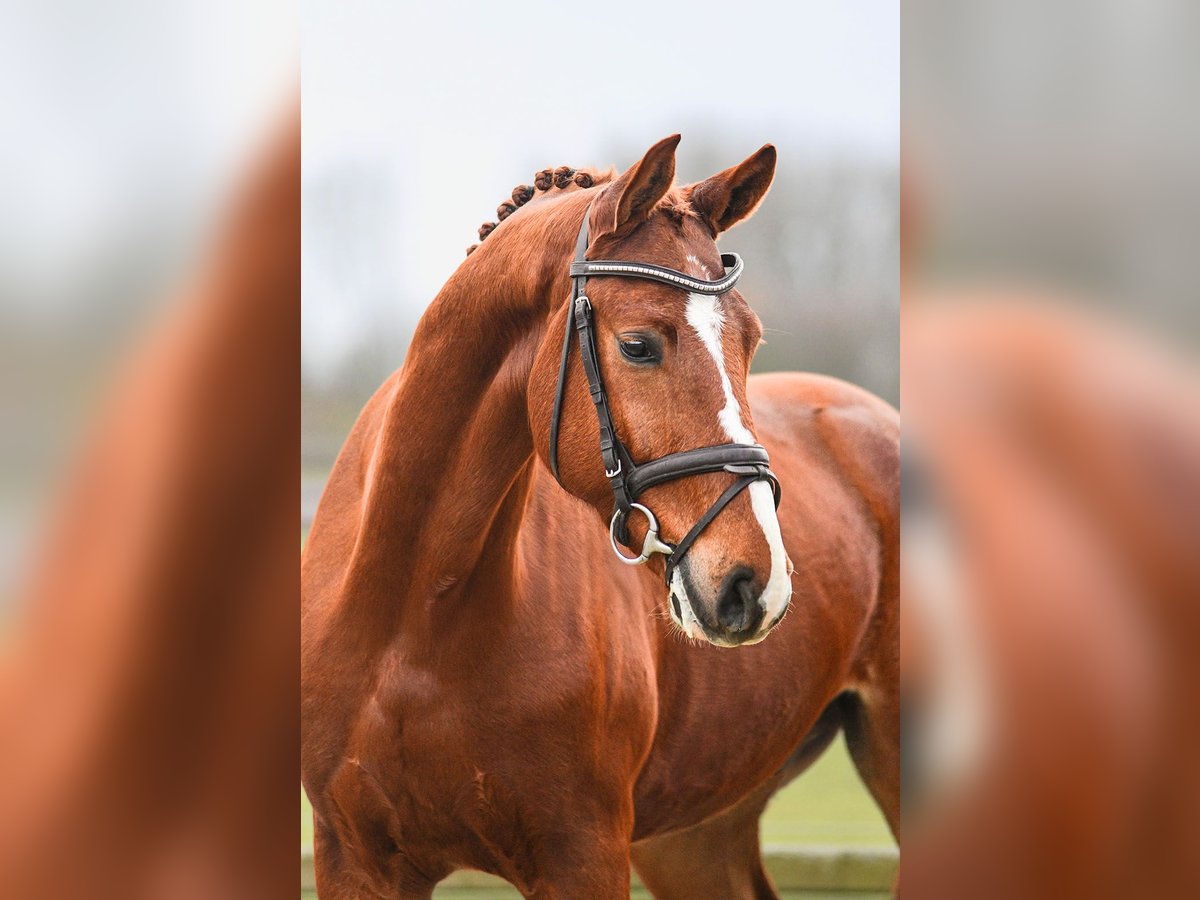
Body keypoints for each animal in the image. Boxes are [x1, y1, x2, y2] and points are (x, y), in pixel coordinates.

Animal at [304, 135, 897, 900]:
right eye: (638, 344)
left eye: (752, 341)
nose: (755, 585)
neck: (414, 618)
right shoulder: (356, 858)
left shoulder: (581, 856)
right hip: (695, 835)